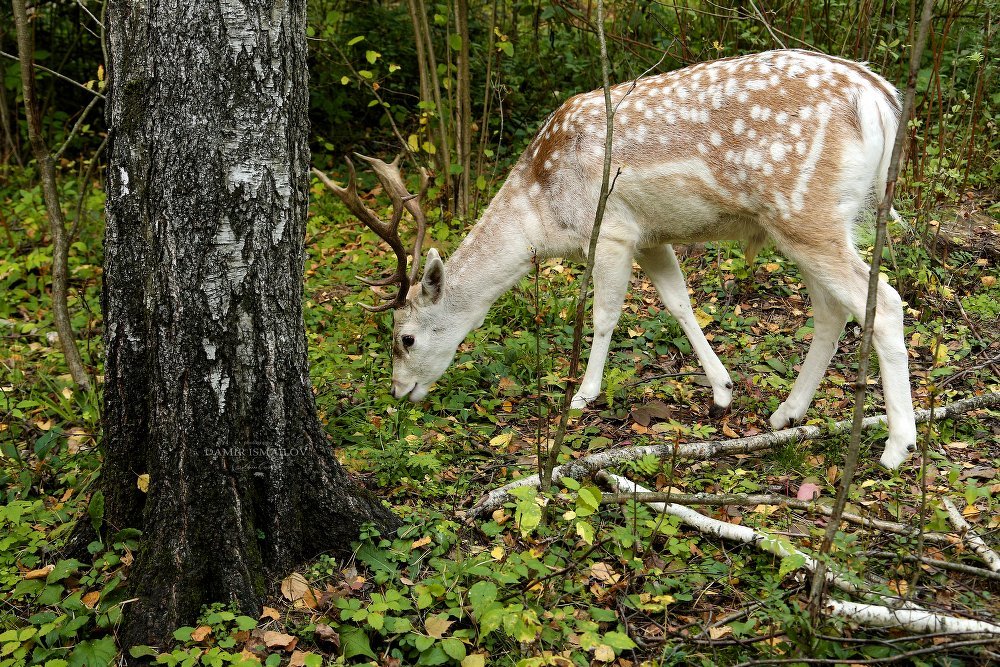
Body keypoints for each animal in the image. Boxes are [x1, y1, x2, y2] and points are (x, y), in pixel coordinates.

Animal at [322, 49, 920, 470]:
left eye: (405, 338)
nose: (400, 393)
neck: (544, 213)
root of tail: (880, 98)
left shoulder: (609, 230)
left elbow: (605, 313)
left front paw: (582, 396)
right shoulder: (650, 235)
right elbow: (679, 303)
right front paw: (722, 390)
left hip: (803, 210)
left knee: (885, 302)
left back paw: (896, 447)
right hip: (808, 222)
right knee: (834, 310)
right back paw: (787, 413)